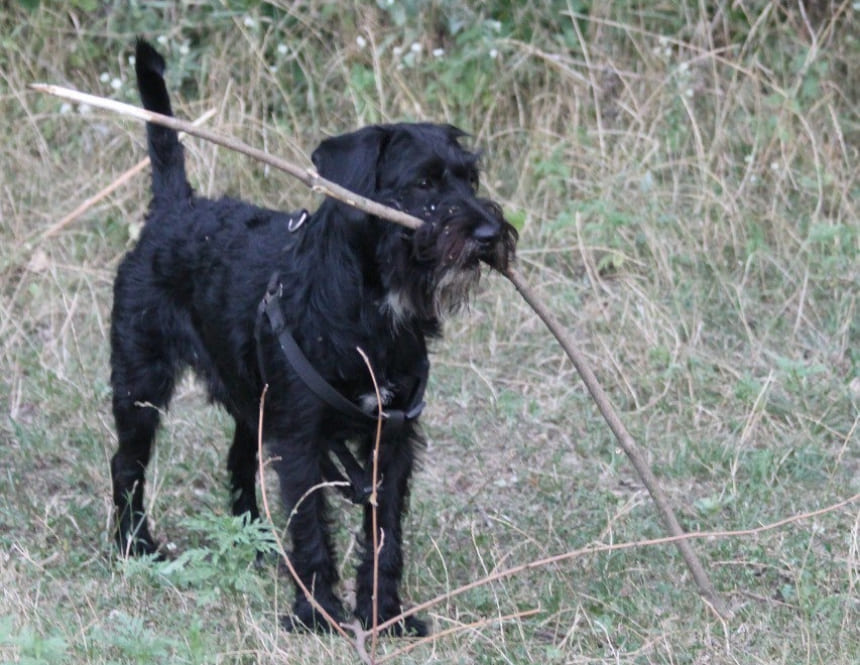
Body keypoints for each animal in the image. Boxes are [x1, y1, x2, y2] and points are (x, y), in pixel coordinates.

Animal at [111, 40, 516, 632]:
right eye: (423, 182)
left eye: (471, 179)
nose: (489, 233)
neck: (371, 307)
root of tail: (175, 206)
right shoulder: (302, 439)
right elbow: (310, 527)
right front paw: (318, 614)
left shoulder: (391, 440)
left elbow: (384, 535)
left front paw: (384, 615)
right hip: (140, 384)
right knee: (127, 464)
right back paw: (134, 546)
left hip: (251, 402)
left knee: (238, 461)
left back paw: (256, 547)